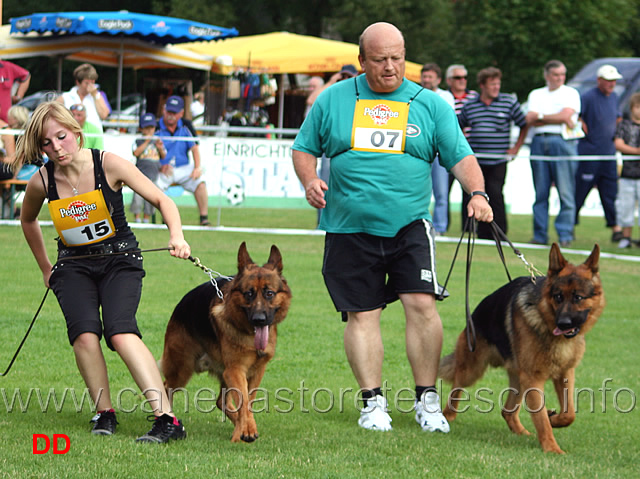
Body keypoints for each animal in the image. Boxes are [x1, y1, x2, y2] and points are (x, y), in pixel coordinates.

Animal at [161, 244, 292, 442]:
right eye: (248, 294)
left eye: (269, 293)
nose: (259, 320)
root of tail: (180, 305)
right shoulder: (236, 370)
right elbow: (244, 400)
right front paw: (247, 430)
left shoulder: (255, 371)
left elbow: (249, 400)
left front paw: (243, 430)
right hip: (182, 369)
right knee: (165, 387)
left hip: (222, 373)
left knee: (220, 401)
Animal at [440, 244, 604, 454]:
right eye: (558, 297)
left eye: (578, 297)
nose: (563, 323)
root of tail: (475, 314)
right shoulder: (533, 378)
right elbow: (541, 419)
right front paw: (552, 448)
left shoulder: (565, 373)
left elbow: (569, 413)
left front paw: (554, 419)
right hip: (472, 370)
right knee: (456, 388)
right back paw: (447, 416)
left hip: (519, 380)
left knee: (507, 411)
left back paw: (521, 431)